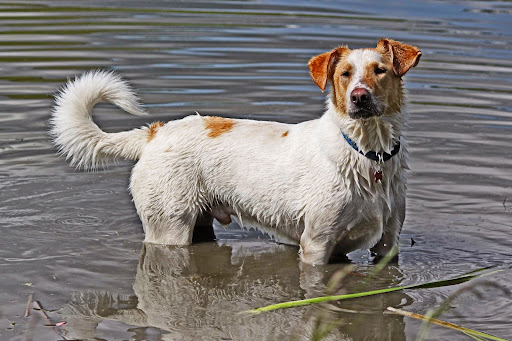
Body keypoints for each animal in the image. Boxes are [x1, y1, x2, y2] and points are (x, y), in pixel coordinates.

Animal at [51, 38, 420, 264]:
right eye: (345, 74)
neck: (366, 153)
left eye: (380, 71)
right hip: (169, 229)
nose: (359, 97)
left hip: (199, 224)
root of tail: (154, 134)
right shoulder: (316, 245)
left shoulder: (388, 244)